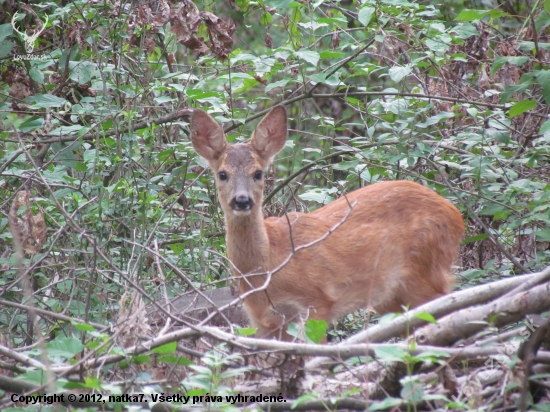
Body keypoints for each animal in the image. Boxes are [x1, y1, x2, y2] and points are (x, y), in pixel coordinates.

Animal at [191, 106, 466, 342]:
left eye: (258, 173)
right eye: (222, 174)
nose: (242, 200)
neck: (269, 265)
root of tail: (455, 214)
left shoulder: (316, 301)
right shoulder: (263, 322)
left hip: (425, 269)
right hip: (389, 295)